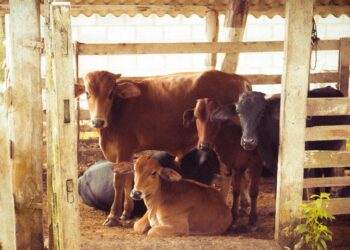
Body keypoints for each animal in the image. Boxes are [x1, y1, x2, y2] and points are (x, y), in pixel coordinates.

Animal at [76, 70, 252, 227]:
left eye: (110, 93)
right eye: (87, 93)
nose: (97, 121)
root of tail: (240, 79)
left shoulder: (123, 148)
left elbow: (119, 182)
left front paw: (113, 216)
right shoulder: (127, 152)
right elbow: (128, 179)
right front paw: (126, 212)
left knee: (230, 175)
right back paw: (244, 206)